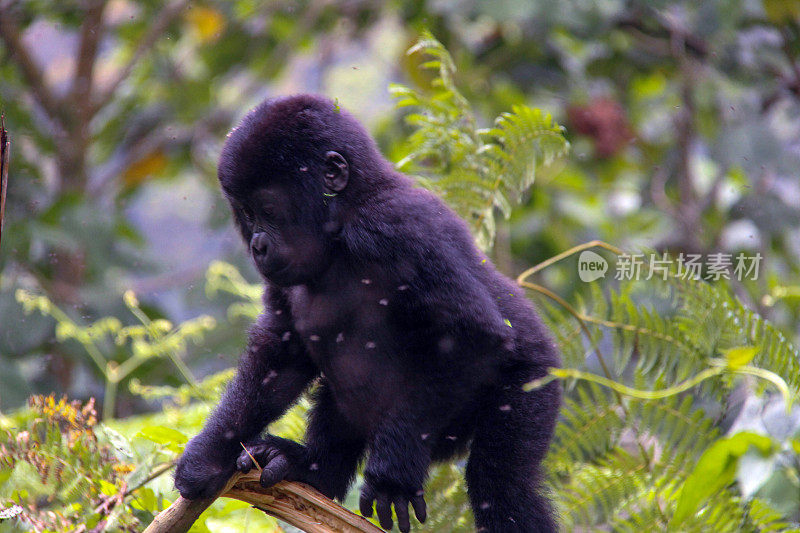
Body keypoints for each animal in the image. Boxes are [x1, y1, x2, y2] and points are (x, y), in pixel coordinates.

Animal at [175, 95, 564, 532]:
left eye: (267, 209)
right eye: (246, 214)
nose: (257, 245)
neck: (343, 221)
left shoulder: (395, 228)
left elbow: (470, 335)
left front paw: (391, 478)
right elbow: (280, 354)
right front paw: (210, 456)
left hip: (535, 380)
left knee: (500, 485)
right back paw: (313, 470)